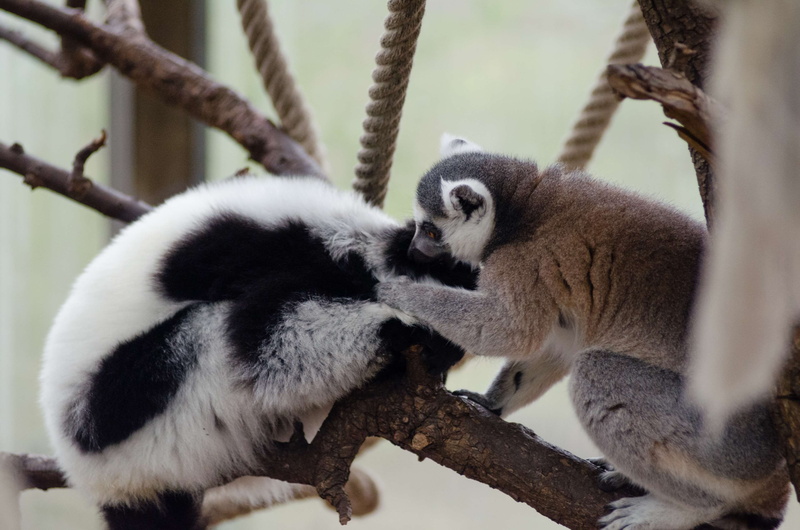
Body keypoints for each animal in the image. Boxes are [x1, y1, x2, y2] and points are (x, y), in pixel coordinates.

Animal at [377, 135, 790, 529]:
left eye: (431, 230)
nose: (414, 250)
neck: (522, 208)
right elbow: (551, 347)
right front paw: (490, 402)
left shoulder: (526, 262)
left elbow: (509, 331)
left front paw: (398, 292)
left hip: (726, 440)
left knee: (600, 375)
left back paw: (683, 509)